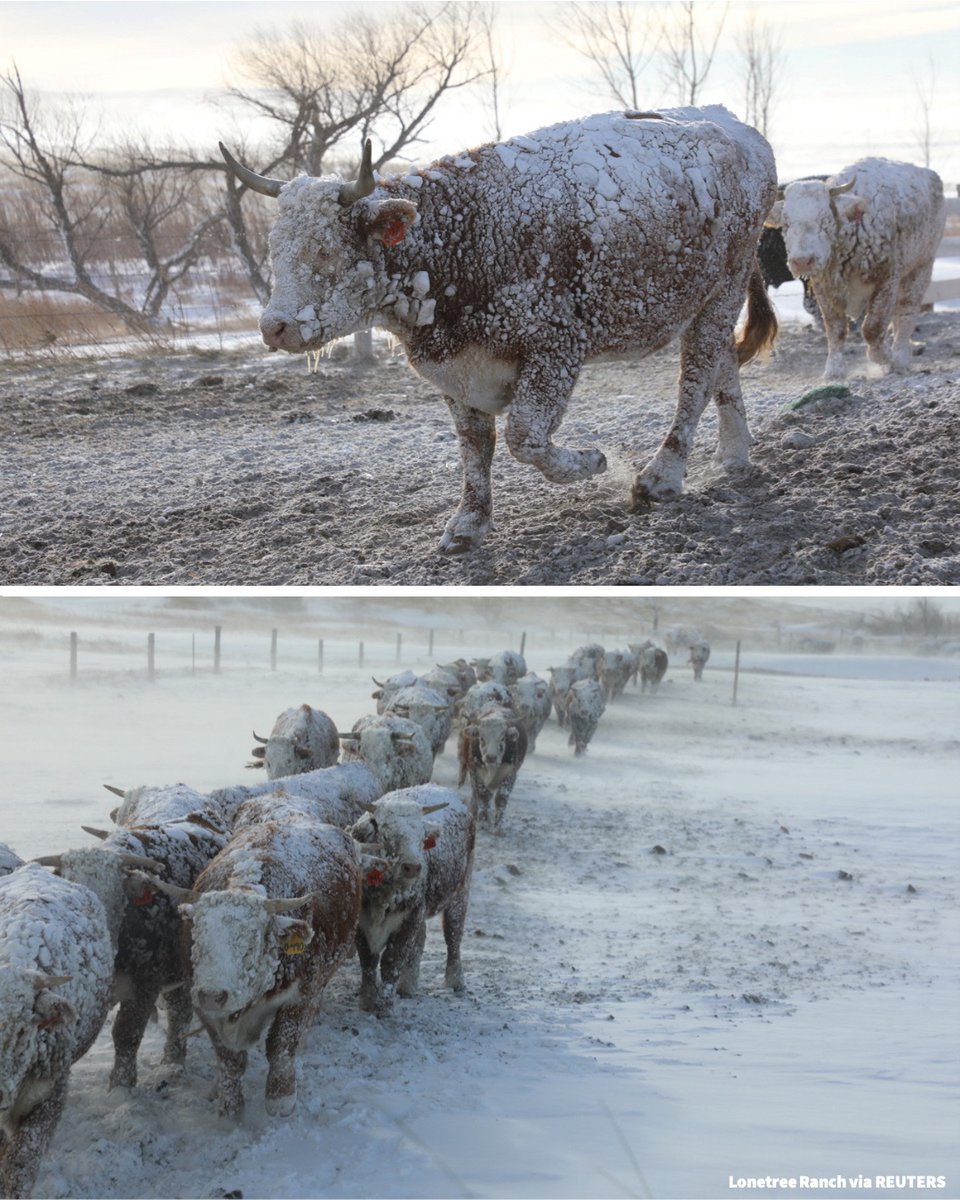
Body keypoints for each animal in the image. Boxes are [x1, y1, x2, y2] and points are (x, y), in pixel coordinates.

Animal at [146, 818, 363, 1120]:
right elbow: (229, 1057)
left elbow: (281, 1046)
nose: (213, 995)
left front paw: (280, 1098)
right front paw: (229, 1105)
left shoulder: (301, 994)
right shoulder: (203, 1004)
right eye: (198, 942)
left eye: (250, 947)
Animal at [220, 104, 777, 552]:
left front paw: (592, 462)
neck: (460, 237)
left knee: (695, 378)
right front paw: (469, 523)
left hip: (721, 291)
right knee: (722, 365)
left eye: (324, 250)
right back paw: (733, 454)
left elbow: (522, 437)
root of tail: (738, 130)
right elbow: (475, 448)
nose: (275, 327)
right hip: (711, 299)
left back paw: (662, 476)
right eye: (275, 248)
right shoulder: (458, 373)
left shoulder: (555, 349)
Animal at [348, 786, 475, 1016]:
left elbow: (392, 960)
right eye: (386, 833)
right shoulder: (362, 921)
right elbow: (368, 959)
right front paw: (368, 1001)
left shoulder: (408, 919)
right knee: (422, 939)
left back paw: (455, 981)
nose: (413, 867)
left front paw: (385, 1006)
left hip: (460, 893)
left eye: (421, 837)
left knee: (453, 936)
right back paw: (407, 986)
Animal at [457, 705, 528, 833]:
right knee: (477, 795)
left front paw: (498, 828)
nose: (491, 757)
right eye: (481, 738)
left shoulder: (511, 774)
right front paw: (484, 823)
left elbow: (501, 798)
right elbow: (483, 796)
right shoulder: (476, 773)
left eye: (502, 738)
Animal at [764, 158, 945, 379]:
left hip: (921, 265)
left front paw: (884, 357)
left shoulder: (886, 280)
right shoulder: (824, 288)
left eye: (825, 220)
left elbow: (873, 327)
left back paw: (900, 357)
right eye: (787, 224)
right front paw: (834, 369)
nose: (802, 261)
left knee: (906, 311)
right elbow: (836, 329)